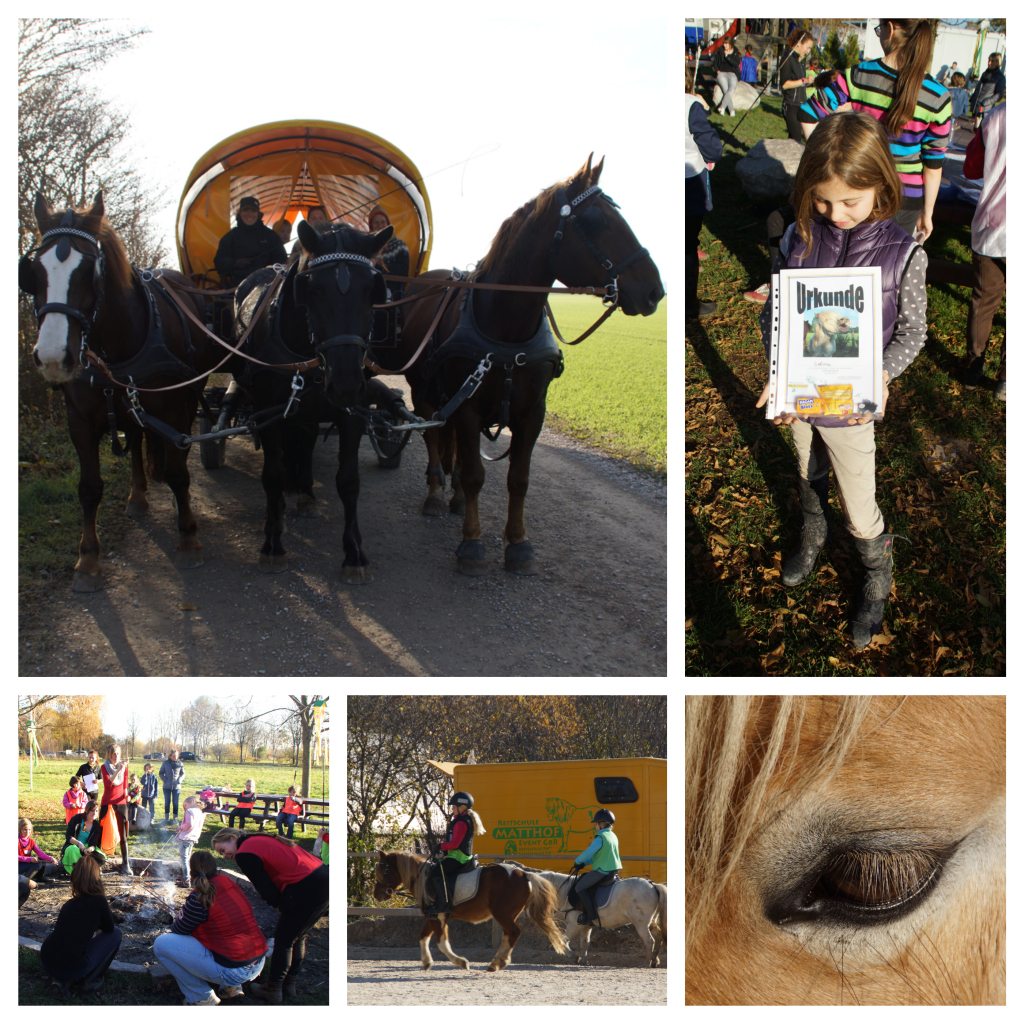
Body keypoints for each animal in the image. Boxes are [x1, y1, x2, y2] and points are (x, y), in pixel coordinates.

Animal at [18, 193, 222, 593]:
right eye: (34, 272)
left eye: (90, 271)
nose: (52, 357)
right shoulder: (79, 420)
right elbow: (88, 488)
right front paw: (87, 560)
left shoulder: (176, 408)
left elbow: (178, 472)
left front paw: (188, 537)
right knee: (138, 435)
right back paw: (138, 495)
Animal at [374, 851, 569, 970]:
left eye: (385, 870)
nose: (377, 894)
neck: (424, 878)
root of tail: (524, 874)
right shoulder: (433, 916)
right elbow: (423, 937)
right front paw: (427, 962)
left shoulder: (438, 916)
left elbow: (442, 943)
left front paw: (461, 962)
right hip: (508, 914)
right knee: (509, 934)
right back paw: (497, 962)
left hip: (502, 913)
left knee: (513, 932)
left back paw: (497, 963)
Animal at [387, 157, 667, 577]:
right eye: (596, 221)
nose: (654, 291)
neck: (506, 329)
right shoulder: (467, 407)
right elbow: (476, 474)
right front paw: (472, 543)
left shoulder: (532, 411)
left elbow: (518, 479)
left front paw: (518, 543)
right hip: (423, 391)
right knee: (433, 438)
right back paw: (436, 493)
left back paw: (454, 497)